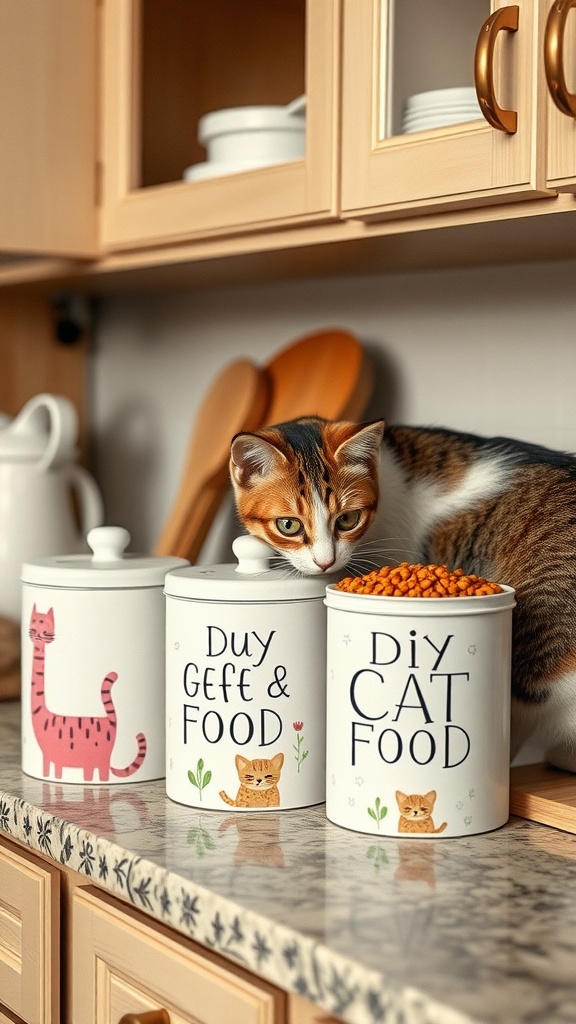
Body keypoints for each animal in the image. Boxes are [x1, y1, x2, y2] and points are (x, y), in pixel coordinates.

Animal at [28, 602, 145, 778]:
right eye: (33, 621)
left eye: (46, 626)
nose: (36, 633)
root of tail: (110, 719)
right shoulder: (50, 760)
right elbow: (50, 775)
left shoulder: (58, 760)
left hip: (96, 761)